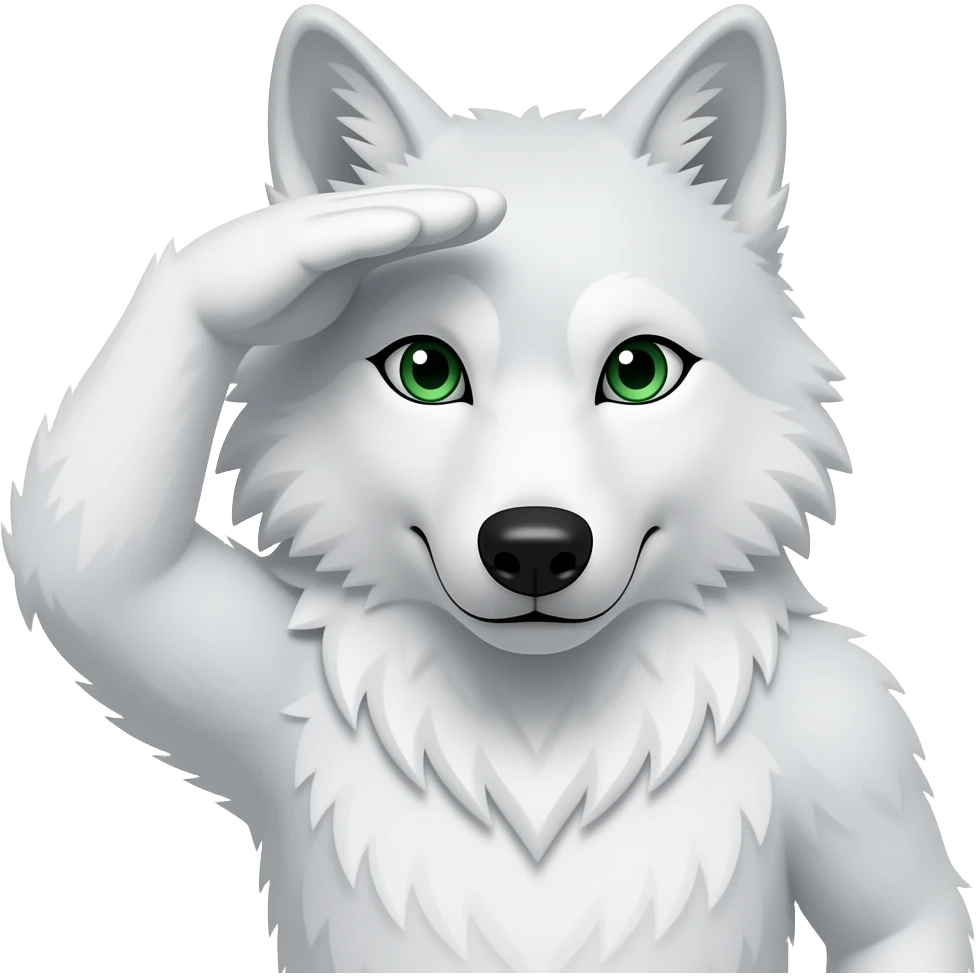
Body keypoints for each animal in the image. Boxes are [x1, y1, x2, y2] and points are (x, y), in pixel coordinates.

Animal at [3, 2, 973, 974]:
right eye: (426, 371)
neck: (536, 735)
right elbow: (89, 568)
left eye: (640, 371)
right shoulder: (239, 660)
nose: (536, 548)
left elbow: (900, 922)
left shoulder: (847, 728)